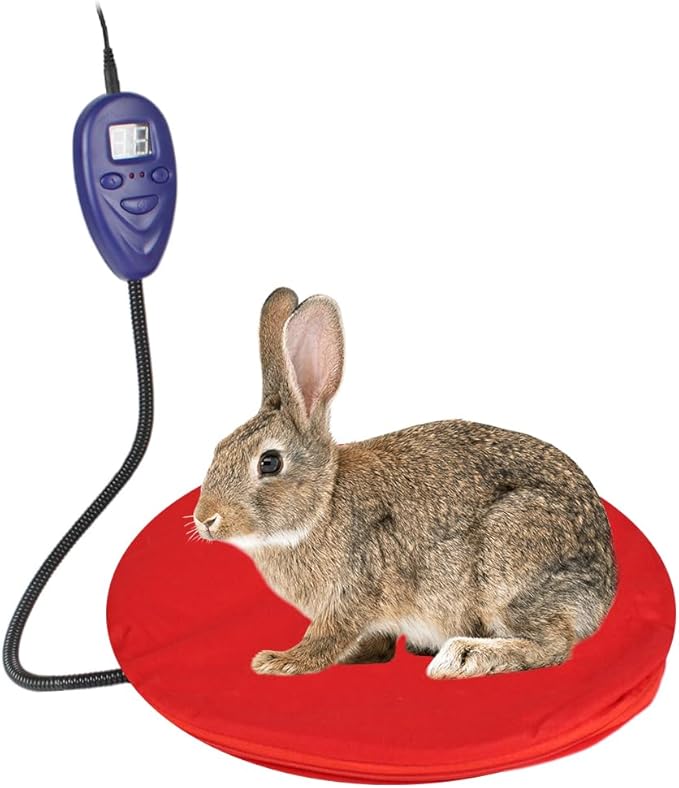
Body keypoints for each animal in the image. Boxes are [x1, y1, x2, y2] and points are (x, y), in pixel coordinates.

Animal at [192, 287, 617, 679]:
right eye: (219, 448)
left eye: (269, 462)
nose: (205, 518)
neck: (323, 504)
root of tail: (604, 589)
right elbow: (374, 644)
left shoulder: (353, 591)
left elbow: (327, 637)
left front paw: (279, 661)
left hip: (509, 563)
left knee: (551, 645)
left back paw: (462, 657)